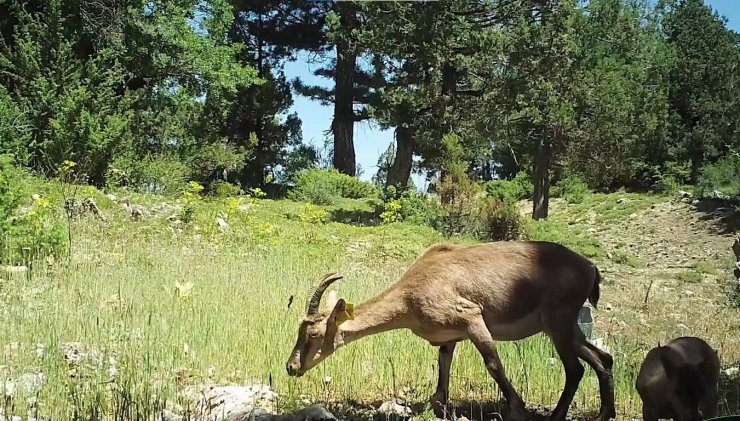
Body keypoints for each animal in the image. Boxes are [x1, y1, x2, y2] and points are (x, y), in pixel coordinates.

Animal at [286, 240, 616, 420]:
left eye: (313, 334)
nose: (291, 367)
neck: (411, 294)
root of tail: (590, 269)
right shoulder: (450, 336)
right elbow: (442, 372)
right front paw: (442, 409)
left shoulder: (472, 318)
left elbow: (493, 364)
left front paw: (518, 410)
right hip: (567, 328)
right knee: (602, 358)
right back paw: (605, 413)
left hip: (558, 324)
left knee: (575, 369)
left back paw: (559, 416)